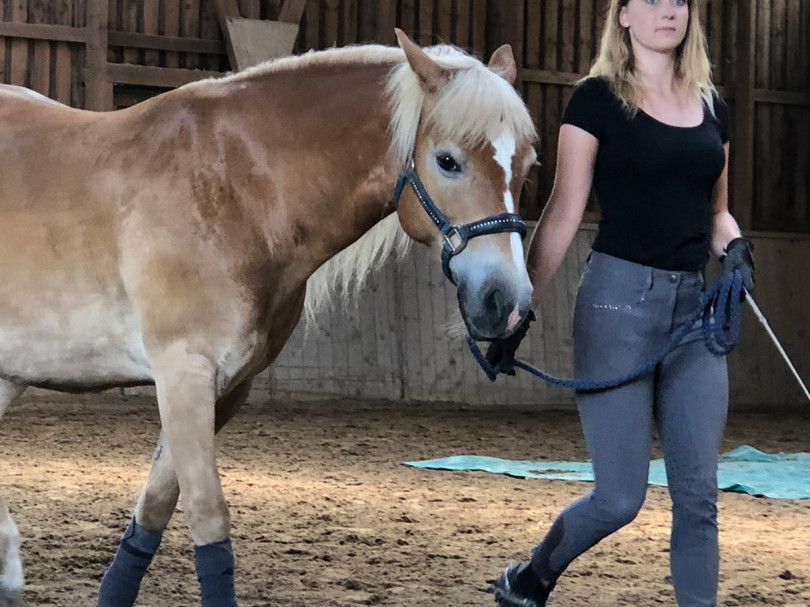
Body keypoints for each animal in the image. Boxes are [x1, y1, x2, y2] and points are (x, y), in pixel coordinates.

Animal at [0, 30, 538, 606]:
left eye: (528, 164)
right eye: (447, 160)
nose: (506, 301)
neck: (233, 189)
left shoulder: (225, 388)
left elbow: (156, 507)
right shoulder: (182, 375)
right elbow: (208, 518)